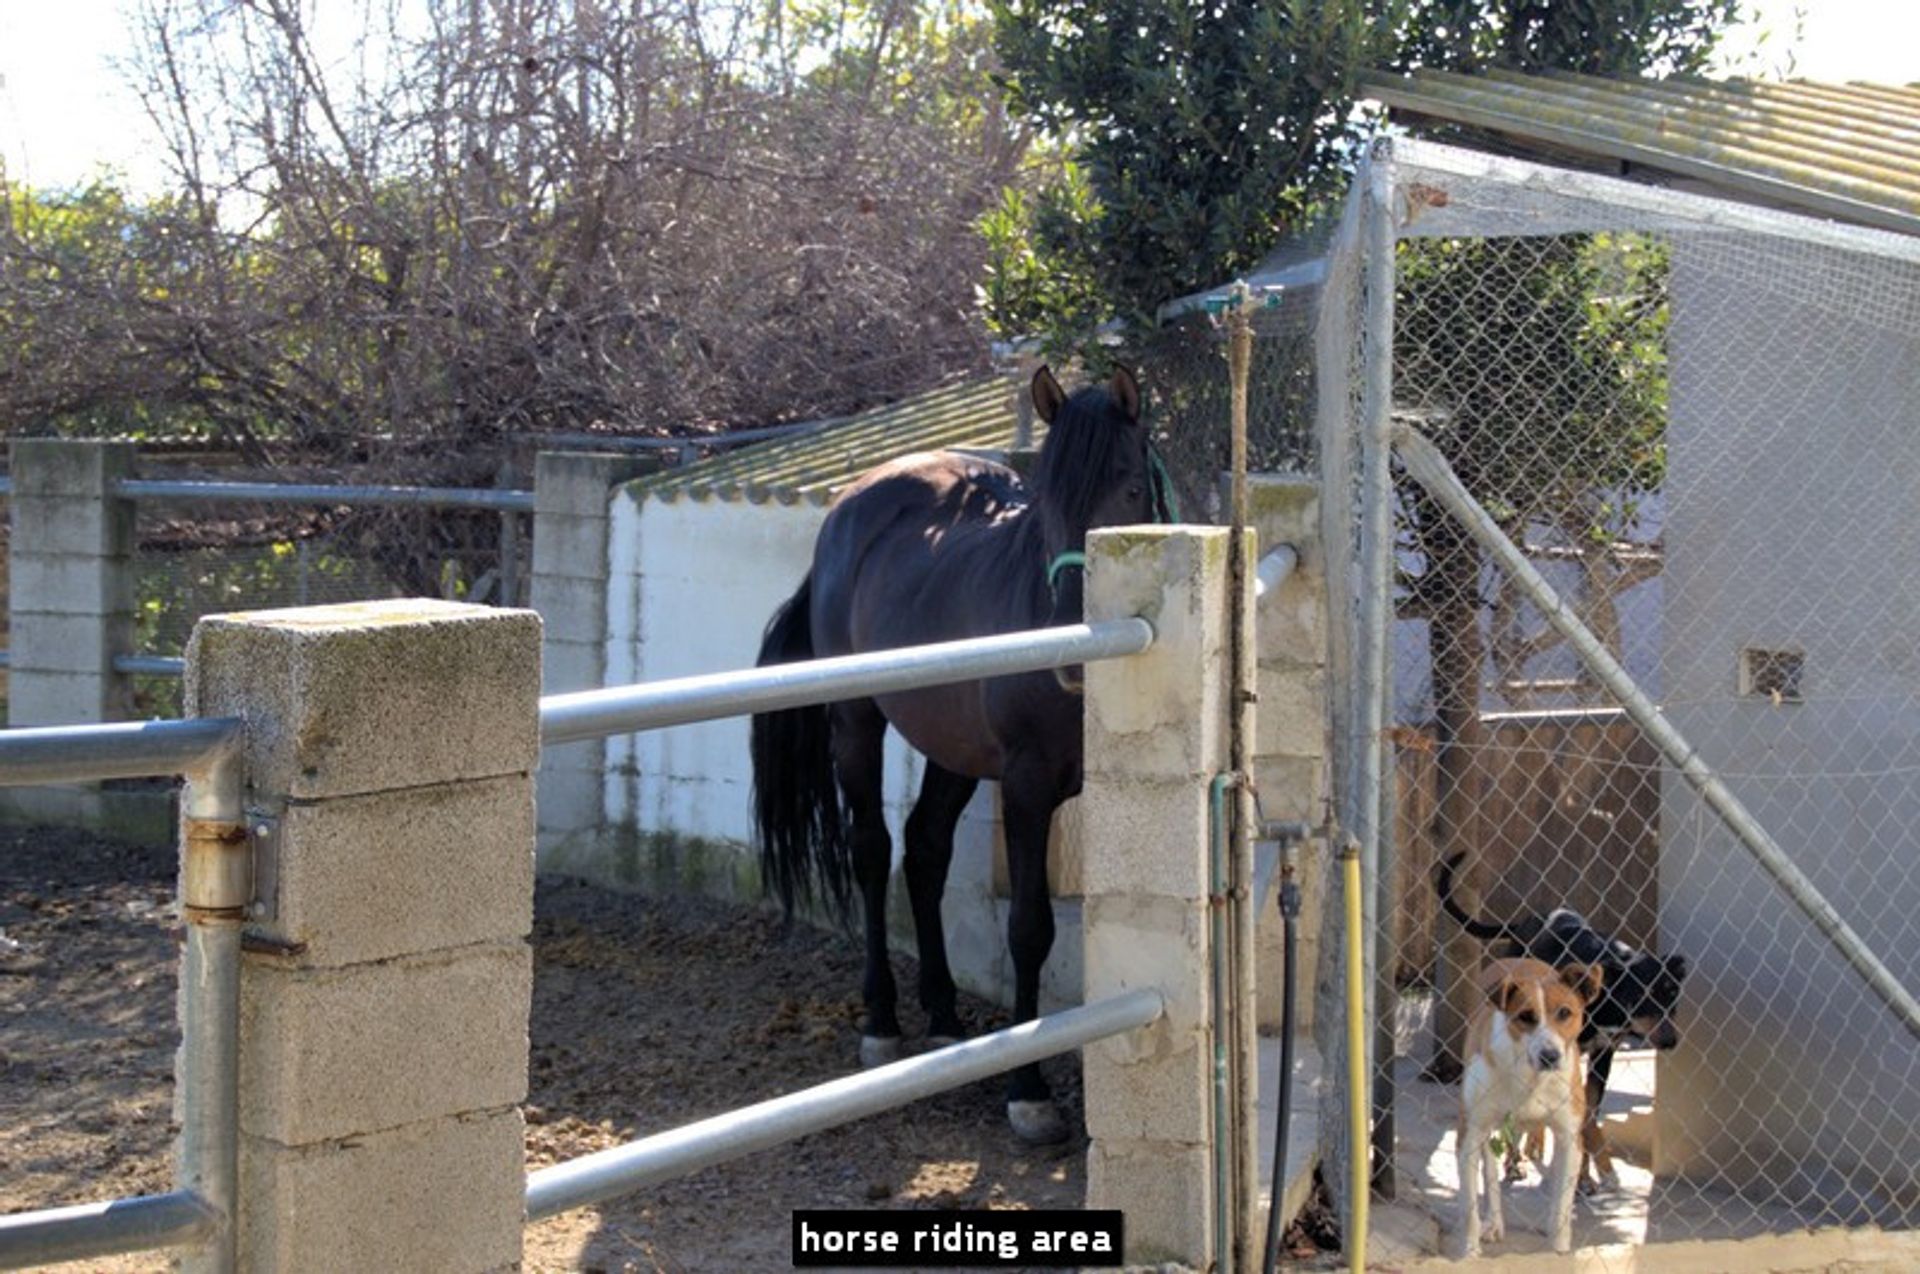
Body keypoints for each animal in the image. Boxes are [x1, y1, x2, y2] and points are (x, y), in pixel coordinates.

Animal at [748, 362, 1167, 1135]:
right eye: (1046, 501)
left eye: (1129, 489)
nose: (1070, 638)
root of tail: (851, 505)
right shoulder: (1029, 785)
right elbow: (1030, 929)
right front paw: (1029, 1089)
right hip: (857, 725)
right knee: (874, 851)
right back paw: (882, 1021)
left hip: (952, 750)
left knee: (924, 850)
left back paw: (943, 1017)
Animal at [1436, 851, 1689, 1189]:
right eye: (1641, 997)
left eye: (1672, 995)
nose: (1671, 1041)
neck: (1608, 999)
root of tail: (1524, 922)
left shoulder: (1603, 1054)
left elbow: (1588, 1113)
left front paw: (1583, 1175)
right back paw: (1515, 1161)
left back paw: (1534, 1144)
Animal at [1451, 955, 1605, 1250]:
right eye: (1525, 1017)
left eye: (1565, 1013)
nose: (1550, 1055)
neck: (1528, 1076)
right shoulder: (1470, 1134)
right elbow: (1470, 1211)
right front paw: (1469, 1251)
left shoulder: (1569, 1137)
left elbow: (1561, 1205)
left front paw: (1558, 1248)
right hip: (1486, 1128)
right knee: (1490, 1173)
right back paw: (1495, 1221)